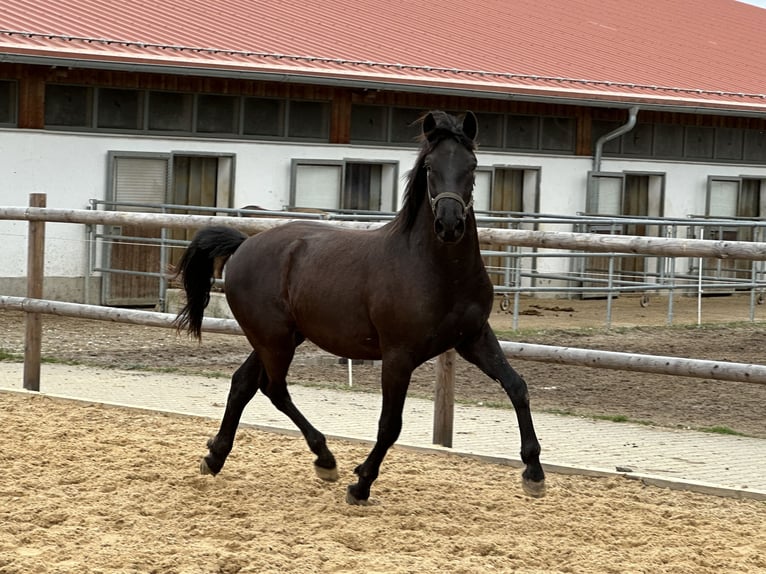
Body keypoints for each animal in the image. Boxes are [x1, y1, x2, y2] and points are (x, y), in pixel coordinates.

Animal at [176, 110, 544, 506]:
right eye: (430, 166)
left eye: (472, 165)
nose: (449, 224)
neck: (439, 271)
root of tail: (245, 243)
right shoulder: (398, 355)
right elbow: (390, 425)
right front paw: (361, 483)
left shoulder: (473, 338)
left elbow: (517, 387)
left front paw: (534, 473)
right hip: (274, 339)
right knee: (273, 388)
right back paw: (325, 459)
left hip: (282, 337)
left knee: (244, 383)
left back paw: (217, 457)